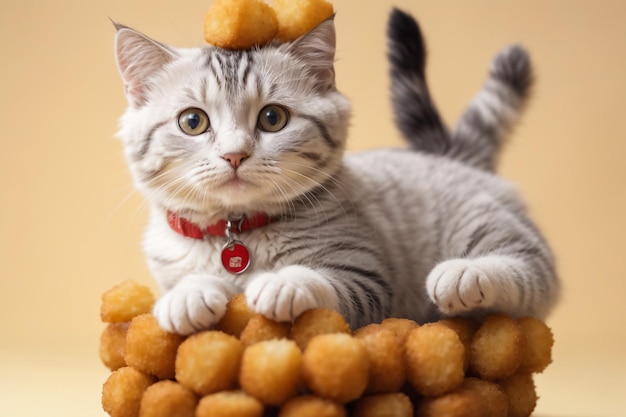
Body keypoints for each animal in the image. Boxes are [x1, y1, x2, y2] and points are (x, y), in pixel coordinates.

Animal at [111, 8, 556, 334]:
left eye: (272, 118)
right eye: (192, 122)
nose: (235, 155)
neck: (237, 231)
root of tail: (456, 156)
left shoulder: (366, 275)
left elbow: (322, 283)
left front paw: (284, 282)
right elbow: (184, 282)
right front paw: (187, 296)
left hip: (482, 222)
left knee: (536, 272)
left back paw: (464, 273)